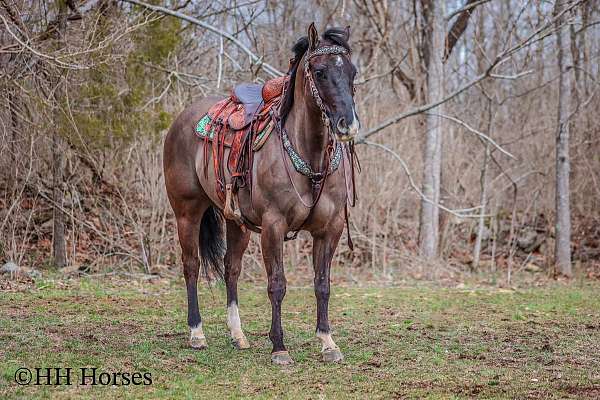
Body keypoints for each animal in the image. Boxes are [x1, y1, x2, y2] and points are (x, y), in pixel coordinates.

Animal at [164, 23, 358, 364]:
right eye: (320, 72)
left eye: (353, 72)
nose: (347, 124)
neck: (309, 154)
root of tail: (181, 120)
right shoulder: (273, 226)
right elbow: (277, 284)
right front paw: (279, 346)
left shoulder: (330, 228)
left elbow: (322, 284)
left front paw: (327, 341)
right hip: (187, 212)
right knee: (191, 266)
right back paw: (197, 333)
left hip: (236, 222)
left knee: (231, 268)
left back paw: (237, 335)